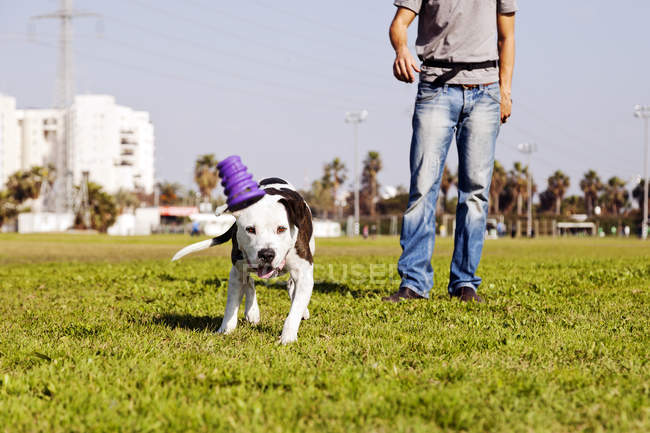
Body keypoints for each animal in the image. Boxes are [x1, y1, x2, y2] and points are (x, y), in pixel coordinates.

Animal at [172, 177, 314, 342]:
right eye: (250, 229)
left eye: (281, 229)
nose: (266, 254)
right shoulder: (236, 273)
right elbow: (231, 305)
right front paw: (225, 330)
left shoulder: (304, 274)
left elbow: (295, 310)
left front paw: (288, 337)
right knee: (250, 281)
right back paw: (252, 312)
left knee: (290, 285)